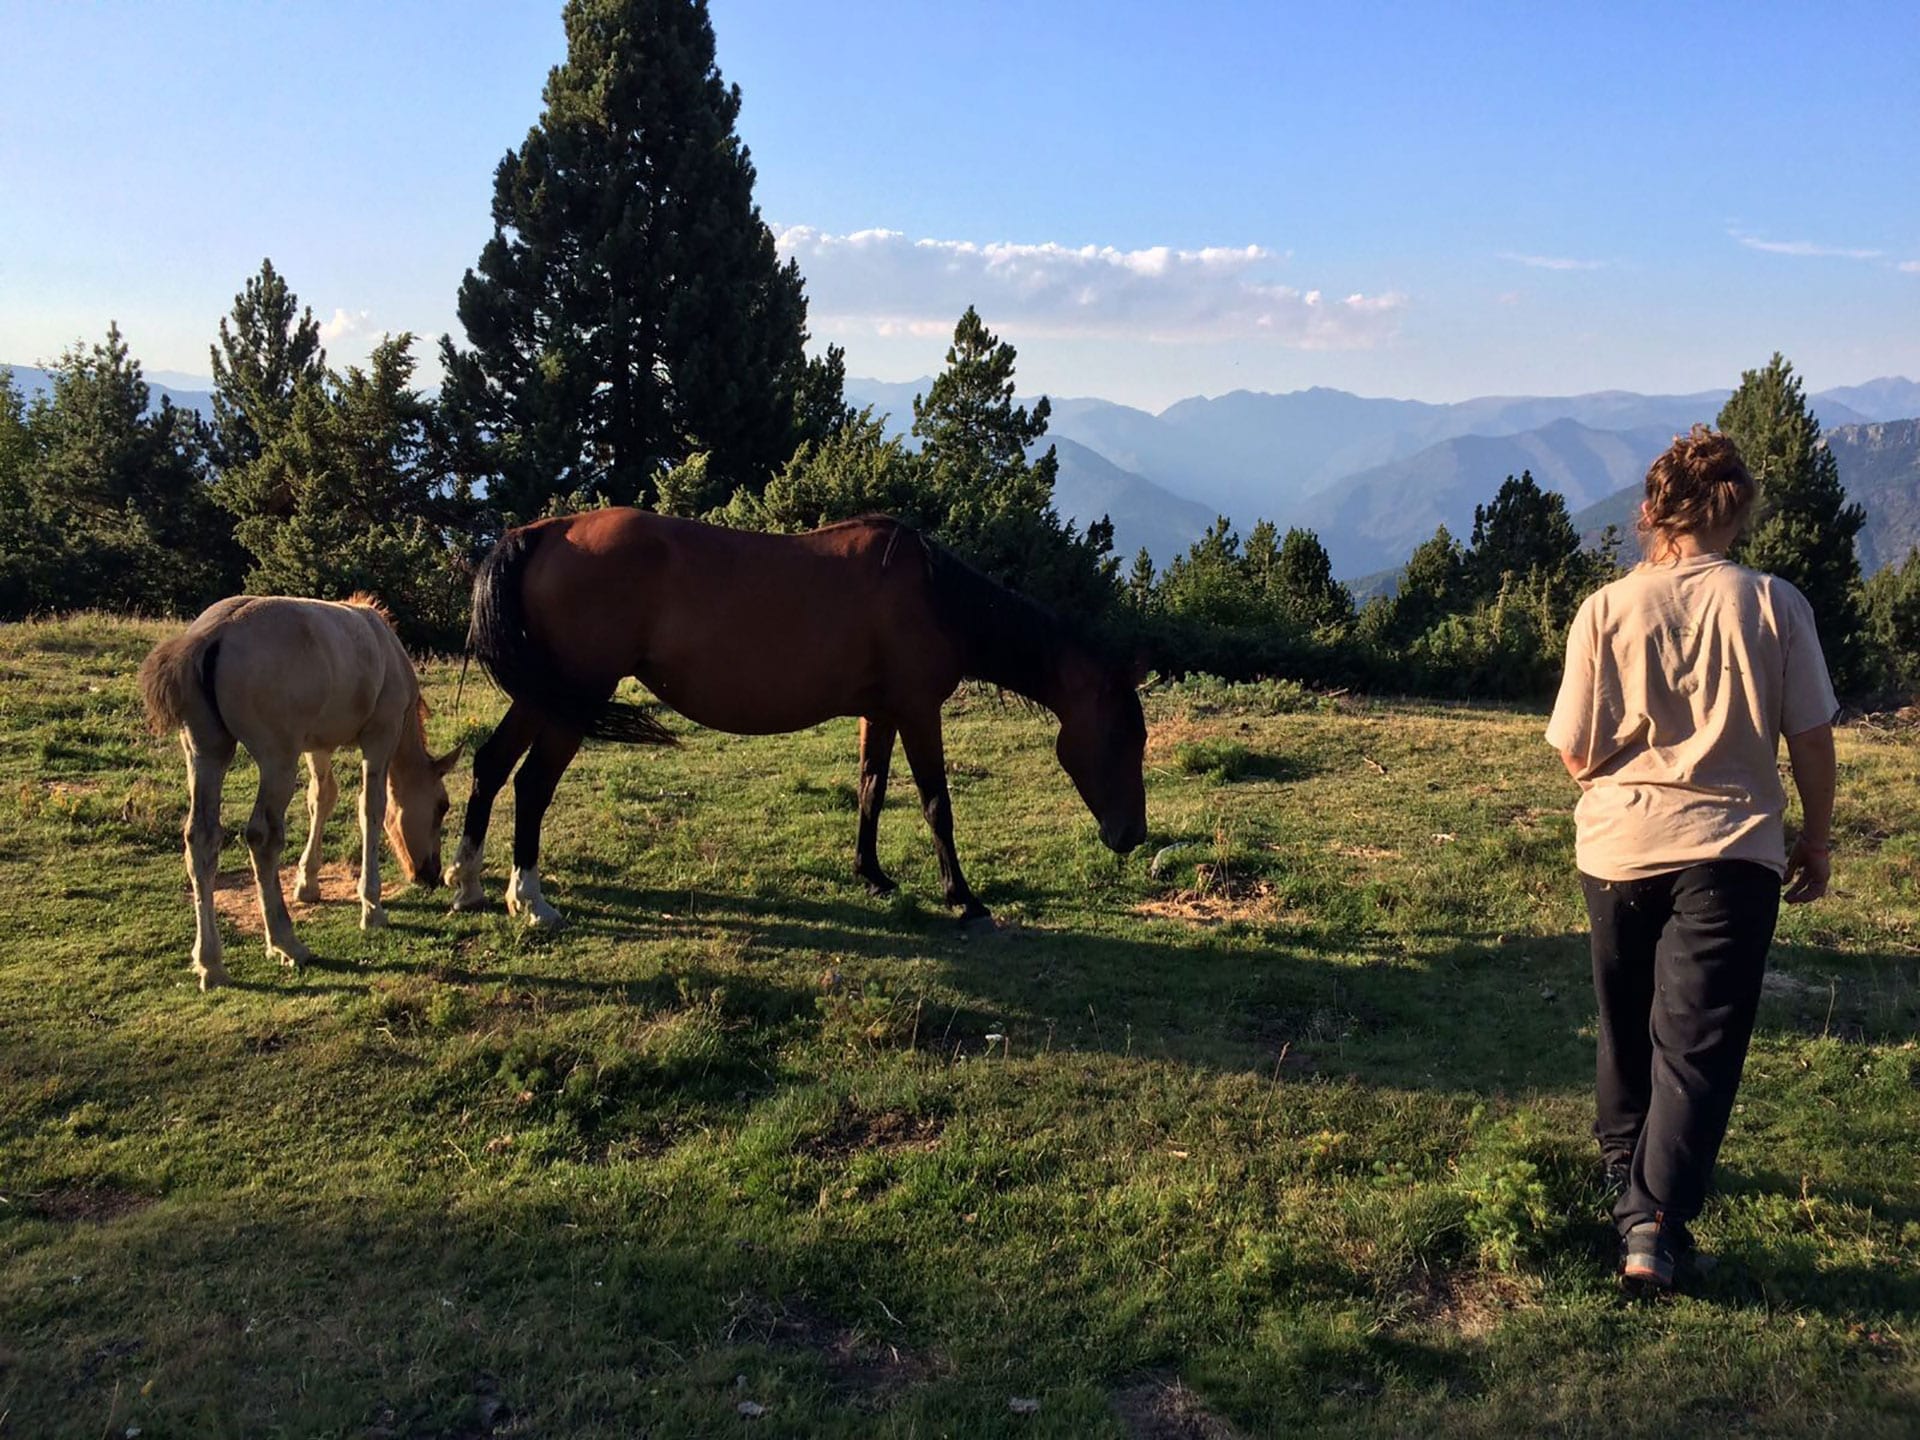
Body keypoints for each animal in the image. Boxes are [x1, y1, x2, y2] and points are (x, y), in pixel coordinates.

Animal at [445, 514, 1136, 929]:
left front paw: (872, 876)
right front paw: (963, 899)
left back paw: (468, 882)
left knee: (491, 765)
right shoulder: (918, 711)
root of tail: (547, 529)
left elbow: (871, 790)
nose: (1132, 835)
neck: (936, 598)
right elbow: (937, 803)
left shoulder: (881, 712)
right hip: (574, 698)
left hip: (545, 694)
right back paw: (531, 900)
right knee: (532, 784)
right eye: (1125, 739)